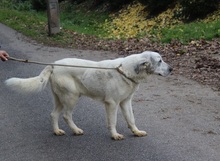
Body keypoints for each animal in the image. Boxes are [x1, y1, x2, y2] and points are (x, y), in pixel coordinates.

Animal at [4, 51, 171, 140]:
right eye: (160, 61)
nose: (172, 69)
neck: (127, 70)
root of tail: (54, 64)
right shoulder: (112, 104)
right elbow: (113, 122)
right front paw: (114, 135)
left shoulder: (126, 102)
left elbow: (131, 119)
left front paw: (136, 132)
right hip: (71, 97)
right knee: (66, 115)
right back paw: (76, 130)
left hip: (60, 99)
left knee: (53, 114)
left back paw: (57, 131)